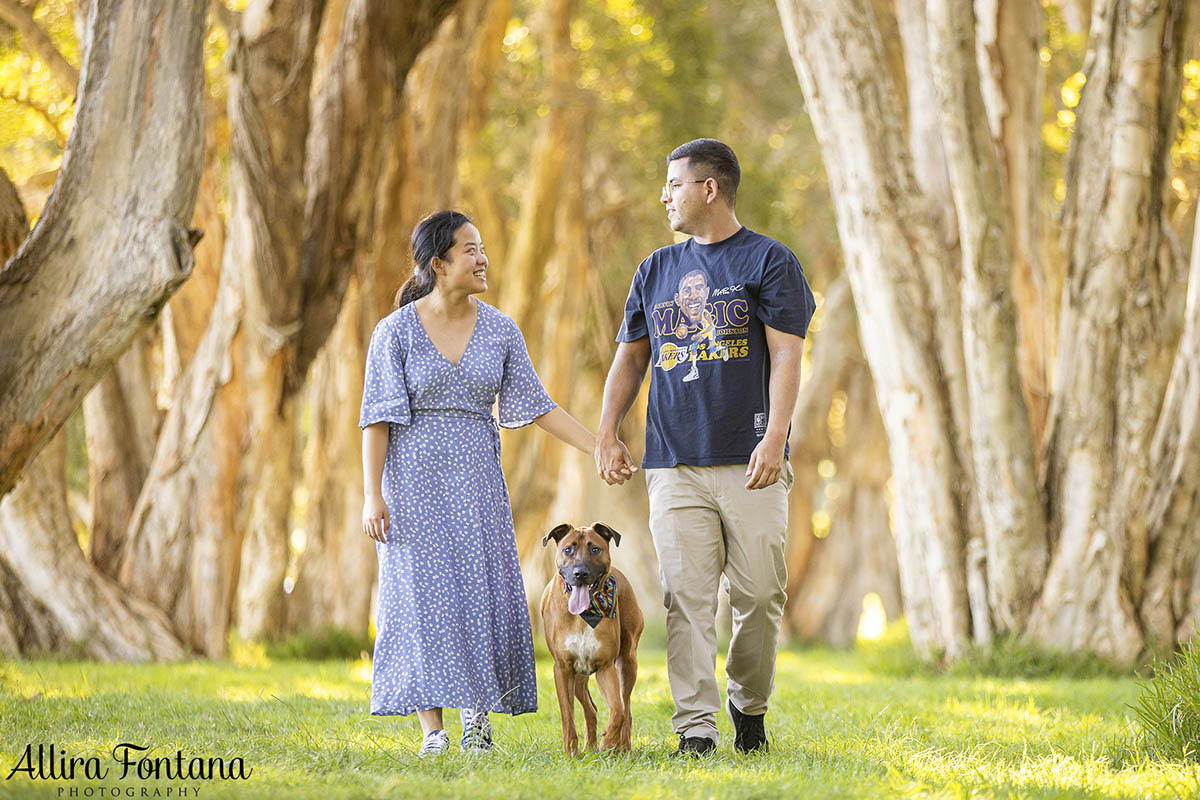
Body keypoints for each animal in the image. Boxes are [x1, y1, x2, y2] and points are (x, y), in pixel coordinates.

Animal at [540, 522, 643, 753]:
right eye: (568, 549)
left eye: (595, 549)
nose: (581, 573)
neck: (584, 614)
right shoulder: (562, 669)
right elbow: (568, 716)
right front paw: (572, 753)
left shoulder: (606, 667)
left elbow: (617, 711)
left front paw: (607, 745)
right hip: (579, 676)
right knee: (591, 708)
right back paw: (589, 747)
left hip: (628, 662)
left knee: (626, 708)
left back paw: (622, 747)